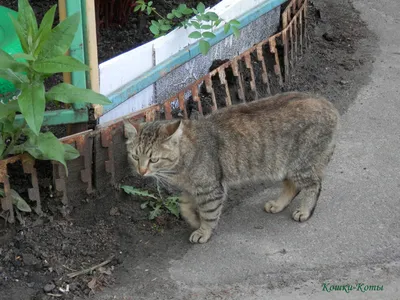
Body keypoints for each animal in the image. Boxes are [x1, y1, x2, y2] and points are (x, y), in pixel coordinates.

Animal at [123, 92, 340, 244]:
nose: (141, 171)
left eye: (153, 159)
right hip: (284, 164)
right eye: (135, 157)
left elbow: (209, 213)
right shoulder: (191, 189)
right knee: (292, 186)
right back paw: (278, 204)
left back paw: (305, 210)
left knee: (314, 185)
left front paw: (203, 230)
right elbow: (184, 206)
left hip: (301, 164)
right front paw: (194, 220)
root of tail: (330, 106)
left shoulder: (210, 188)